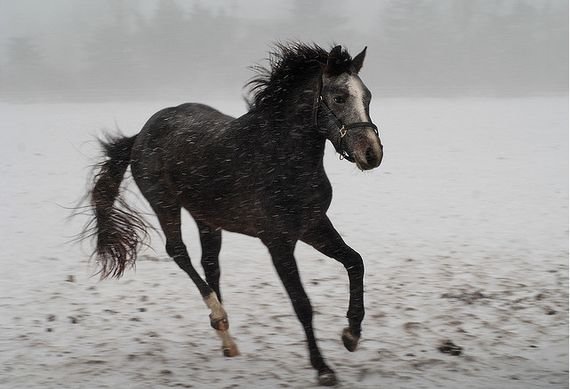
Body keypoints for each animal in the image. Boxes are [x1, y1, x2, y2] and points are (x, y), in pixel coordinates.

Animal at [84, 43, 384, 384]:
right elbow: (302, 303)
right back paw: (219, 316)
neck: (282, 157)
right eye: (339, 97)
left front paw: (351, 335)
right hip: (165, 204)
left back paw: (226, 340)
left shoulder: (313, 225)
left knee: (209, 264)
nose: (372, 154)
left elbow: (355, 262)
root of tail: (141, 135)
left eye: (368, 96)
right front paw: (323, 369)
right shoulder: (278, 242)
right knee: (179, 252)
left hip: (206, 218)